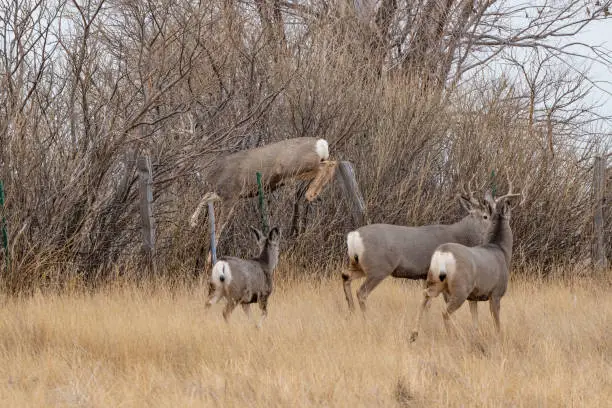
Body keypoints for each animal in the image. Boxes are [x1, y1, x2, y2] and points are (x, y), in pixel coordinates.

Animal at [342, 179, 490, 312]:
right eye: (486, 216)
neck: (460, 236)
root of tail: (353, 236)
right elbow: (441, 302)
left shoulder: (426, 275)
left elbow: (427, 303)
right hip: (378, 267)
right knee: (361, 292)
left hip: (359, 265)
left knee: (345, 276)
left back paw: (352, 311)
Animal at [412, 175, 520, 342]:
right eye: (485, 216)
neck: (501, 251)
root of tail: (442, 253)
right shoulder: (496, 293)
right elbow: (496, 323)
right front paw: (498, 339)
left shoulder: (474, 297)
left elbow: (475, 322)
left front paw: (476, 337)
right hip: (460, 288)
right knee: (445, 312)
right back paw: (453, 337)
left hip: (435, 281)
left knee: (425, 297)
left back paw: (414, 333)